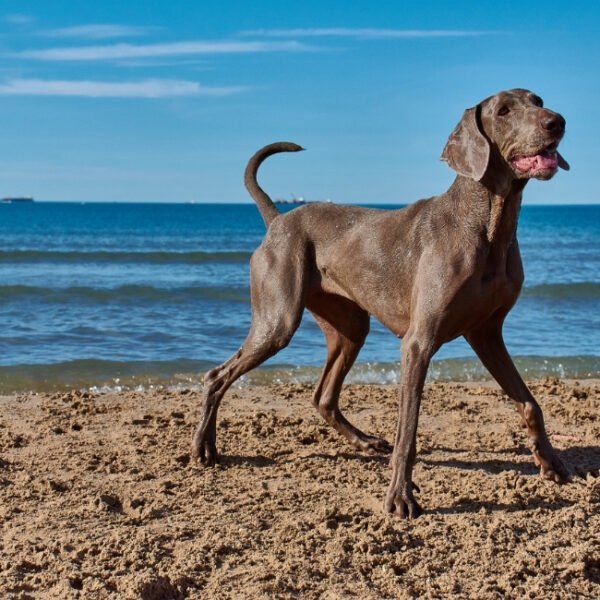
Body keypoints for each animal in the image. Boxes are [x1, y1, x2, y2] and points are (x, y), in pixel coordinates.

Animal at [193, 88, 572, 516]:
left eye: (537, 100)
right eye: (504, 111)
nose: (556, 121)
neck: (488, 224)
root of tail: (278, 220)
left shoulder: (487, 333)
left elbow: (530, 403)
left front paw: (551, 462)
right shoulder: (419, 343)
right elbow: (408, 430)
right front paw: (401, 496)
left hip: (349, 326)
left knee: (324, 396)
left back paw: (363, 441)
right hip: (278, 319)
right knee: (217, 375)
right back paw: (204, 447)